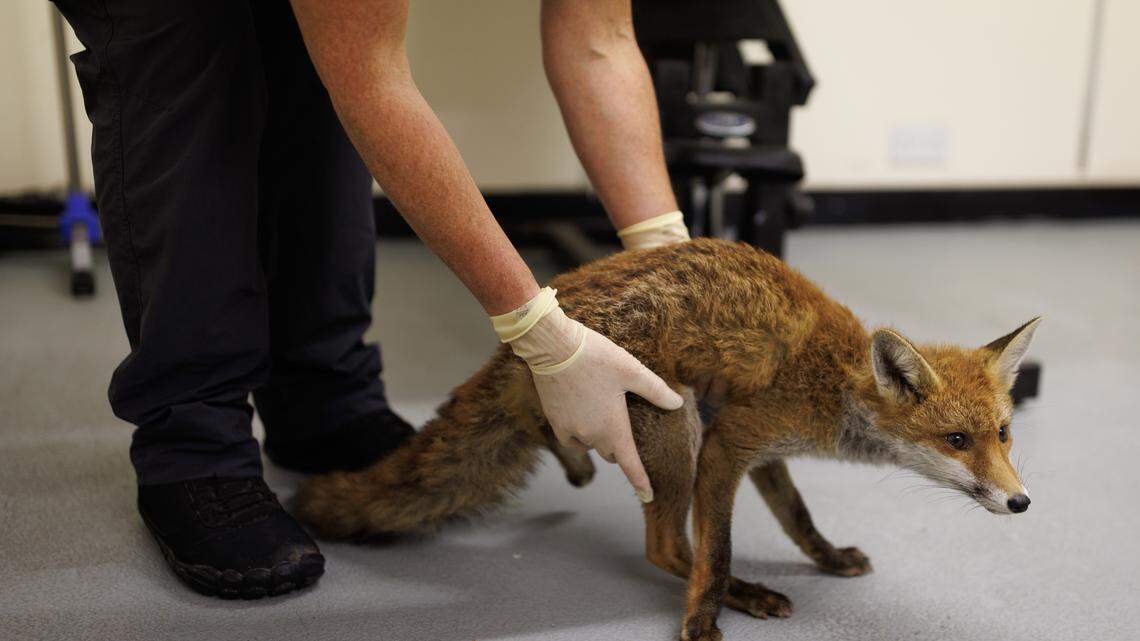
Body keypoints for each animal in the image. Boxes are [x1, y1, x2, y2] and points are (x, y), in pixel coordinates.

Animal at [293, 238, 1039, 641]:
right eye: (956, 438)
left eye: (1003, 433)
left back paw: (572, 460)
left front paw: (827, 557)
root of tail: (524, 342)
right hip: (675, 427)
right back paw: (743, 591)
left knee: (544, 430)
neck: (837, 383)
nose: (1021, 502)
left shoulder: (760, 451)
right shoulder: (729, 442)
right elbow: (716, 549)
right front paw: (706, 615)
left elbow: (799, 519)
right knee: (665, 547)